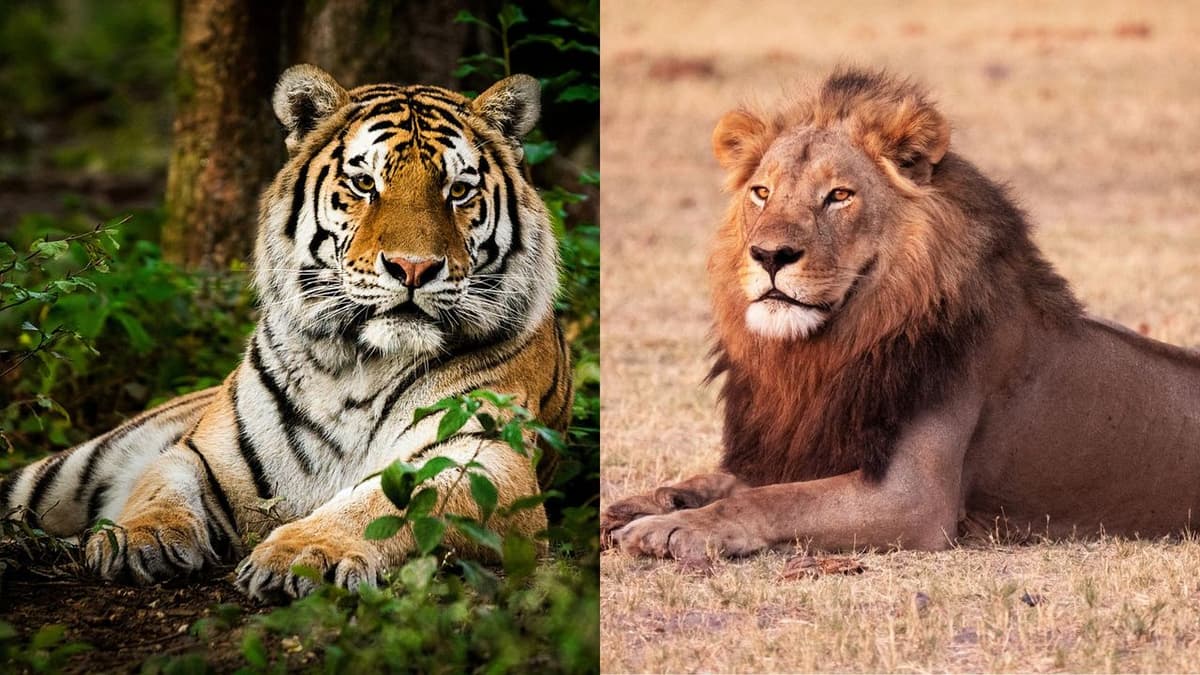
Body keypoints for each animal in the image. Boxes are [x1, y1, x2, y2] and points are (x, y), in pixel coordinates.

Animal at [0, 64, 572, 601]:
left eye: (458, 191)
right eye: (365, 184)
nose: (413, 268)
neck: (360, 365)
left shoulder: (484, 457)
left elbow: (387, 502)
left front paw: (304, 554)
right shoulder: (202, 452)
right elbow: (159, 487)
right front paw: (139, 537)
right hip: (66, 470)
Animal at [601, 67, 1200, 561]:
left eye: (839, 195)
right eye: (762, 192)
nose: (769, 255)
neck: (828, 352)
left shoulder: (915, 498)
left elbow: (774, 500)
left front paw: (675, 527)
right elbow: (732, 480)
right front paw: (651, 502)